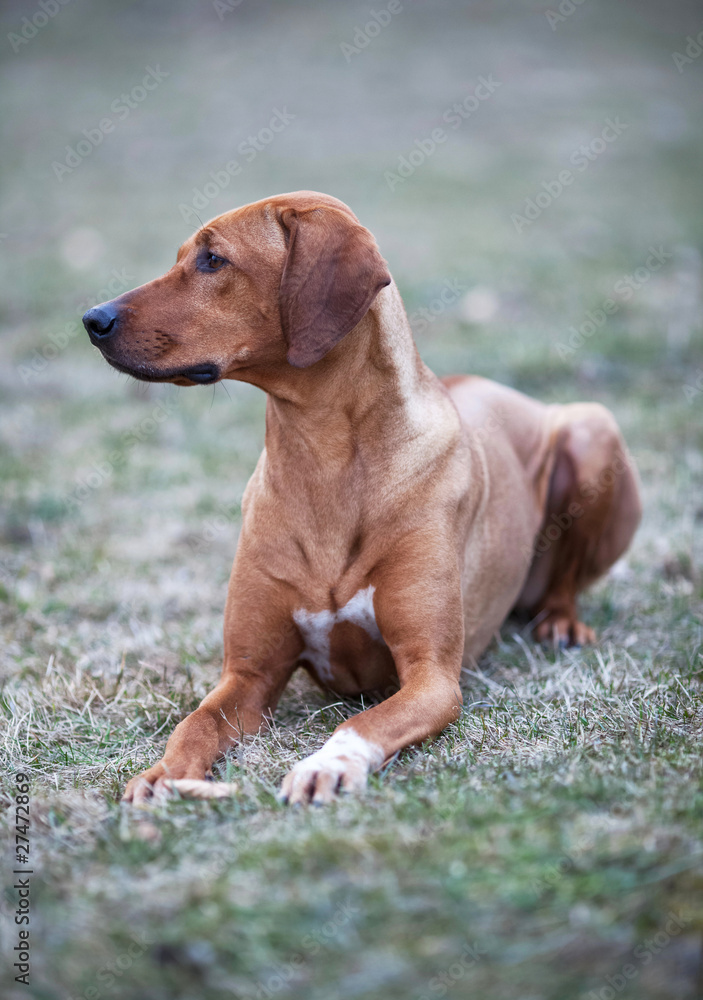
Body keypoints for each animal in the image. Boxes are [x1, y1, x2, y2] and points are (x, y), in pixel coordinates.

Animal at [82, 191, 644, 808]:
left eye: (213, 259)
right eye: (185, 255)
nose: (92, 319)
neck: (323, 461)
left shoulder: (432, 678)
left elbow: (362, 722)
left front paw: (325, 765)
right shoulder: (248, 675)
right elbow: (197, 721)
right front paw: (162, 775)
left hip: (594, 429)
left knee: (566, 581)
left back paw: (561, 623)